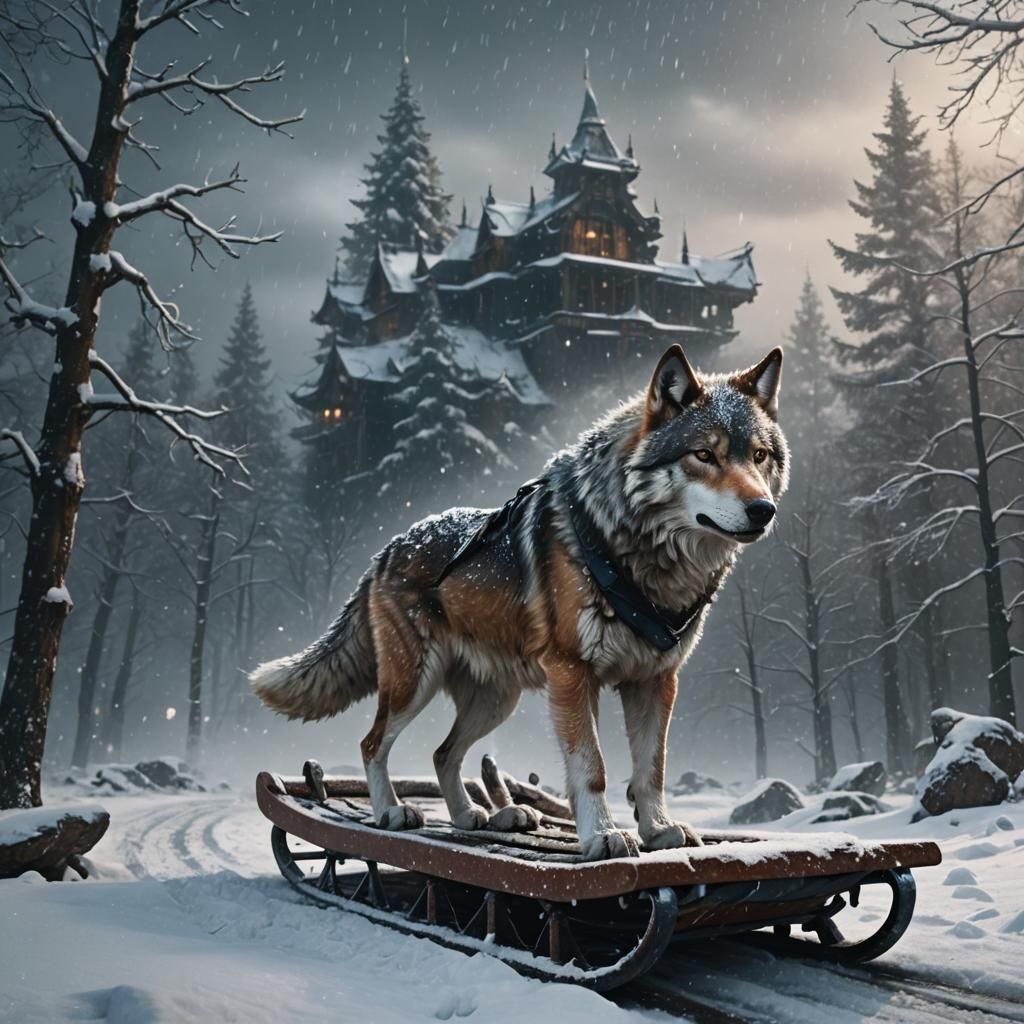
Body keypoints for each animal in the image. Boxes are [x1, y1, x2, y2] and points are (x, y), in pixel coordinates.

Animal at [251, 344, 788, 860]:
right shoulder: (573, 674)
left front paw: (657, 830)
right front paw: (603, 837)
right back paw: (392, 812)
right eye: (704, 454)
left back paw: (478, 818)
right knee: (373, 743)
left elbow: (651, 768)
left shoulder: (656, 680)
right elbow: (592, 767)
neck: (640, 556)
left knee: (443, 754)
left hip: (495, 701)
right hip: (413, 684)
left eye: (759, 456)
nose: (763, 510)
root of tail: (387, 550)